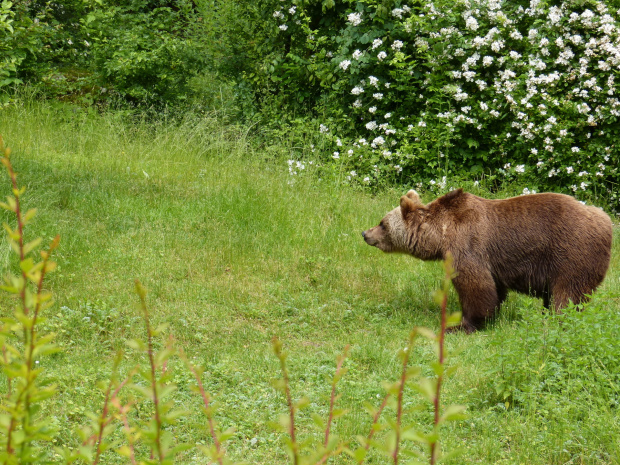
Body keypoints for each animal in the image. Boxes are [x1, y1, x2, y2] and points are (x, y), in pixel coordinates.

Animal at [360, 188, 612, 334]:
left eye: (382, 223)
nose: (365, 233)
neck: (441, 234)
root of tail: (607, 221)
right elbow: (494, 288)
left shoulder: (467, 246)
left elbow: (475, 285)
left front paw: (462, 324)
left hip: (571, 254)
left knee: (567, 296)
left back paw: (556, 324)